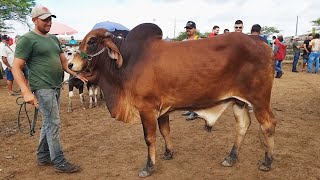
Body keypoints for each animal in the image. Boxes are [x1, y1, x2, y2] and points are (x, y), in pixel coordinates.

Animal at [69, 23, 276, 178]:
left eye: (92, 41)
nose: (70, 64)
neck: (128, 61)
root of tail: (263, 44)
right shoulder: (162, 109)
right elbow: (165, 131)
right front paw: (168, 153)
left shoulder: (146, 108)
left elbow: (149, 138)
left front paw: (149, 166)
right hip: (238, 100)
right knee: (243, 124)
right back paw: (231, 157)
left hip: (259, 100)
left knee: (268, 125)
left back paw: (267, 161)